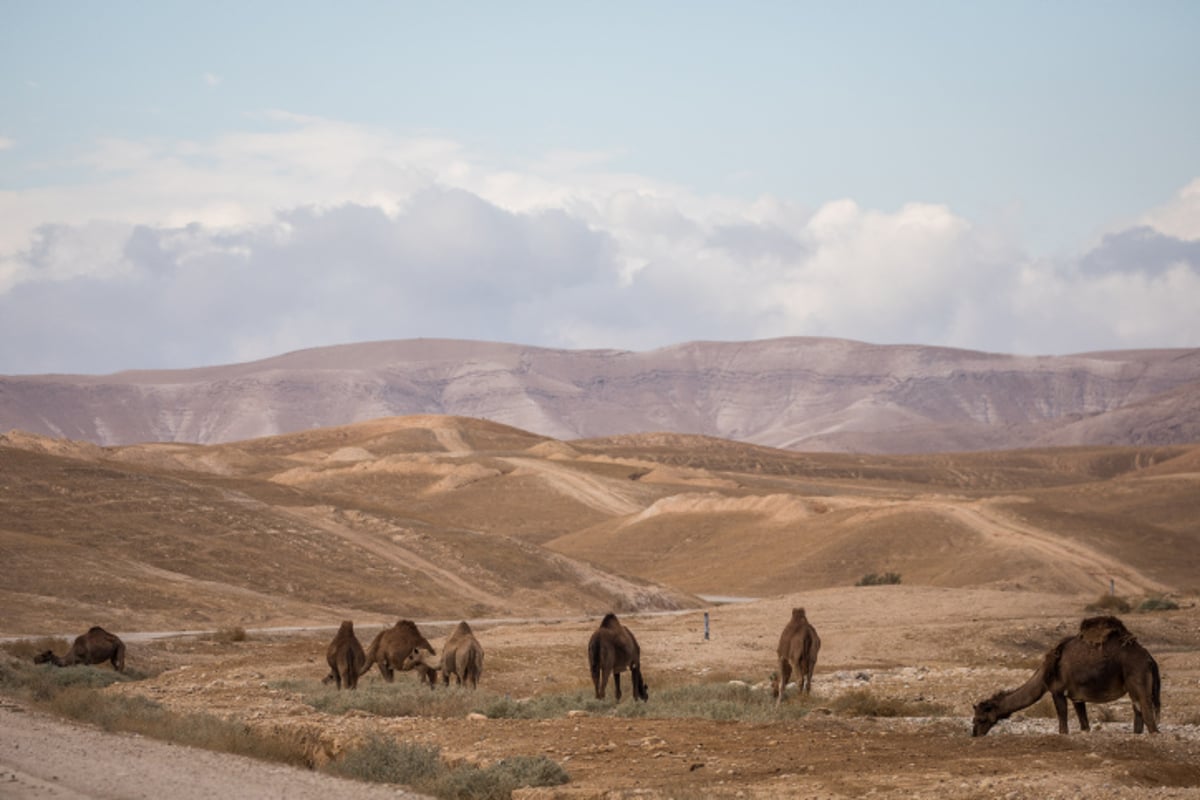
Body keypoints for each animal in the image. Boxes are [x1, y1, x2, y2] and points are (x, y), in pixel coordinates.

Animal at [974, 618, 1161, 738]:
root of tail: (1149, 659)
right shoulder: (1077, 697)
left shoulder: (1057, 691)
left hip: (1137, 677)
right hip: (1132, 686)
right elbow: (1084, 725)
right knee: (1138, 710)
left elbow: (1063, 725)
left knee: (1147, 711)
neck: (1044, 673)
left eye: (980, 718)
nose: (975, 734)